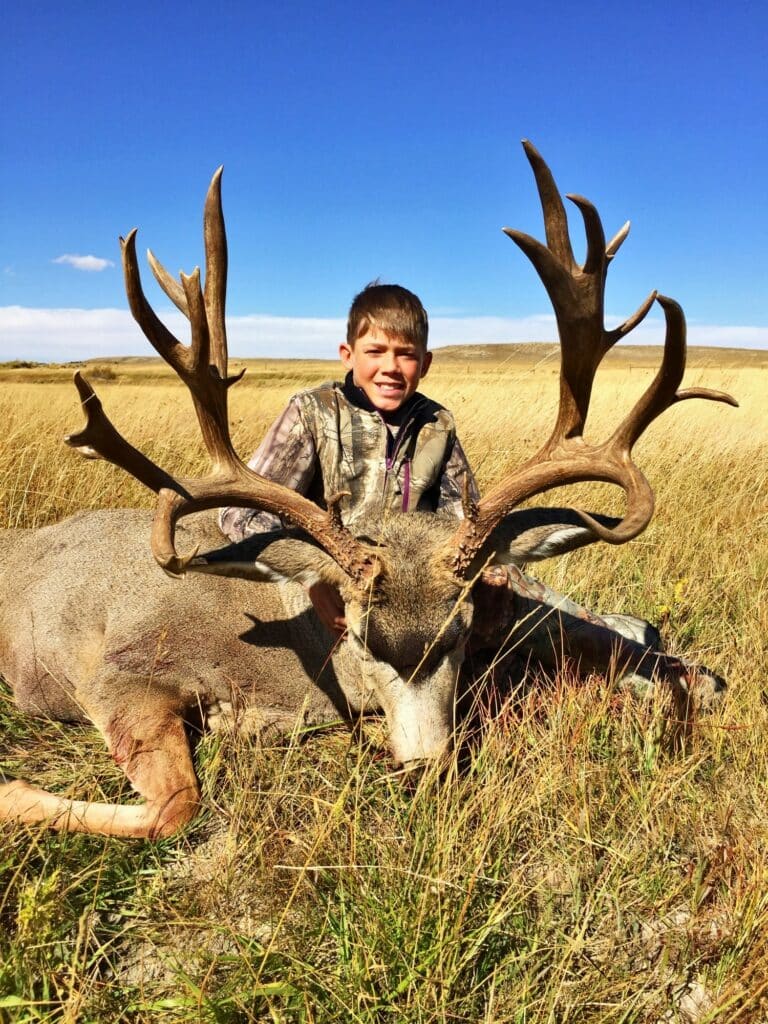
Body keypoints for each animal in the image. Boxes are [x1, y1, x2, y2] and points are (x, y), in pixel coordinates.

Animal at [0, 142, 736, 839]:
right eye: (361, 636)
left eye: (461, 633)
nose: (426, 771)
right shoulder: (118, 671)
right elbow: (177, 807)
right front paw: (13, 791)